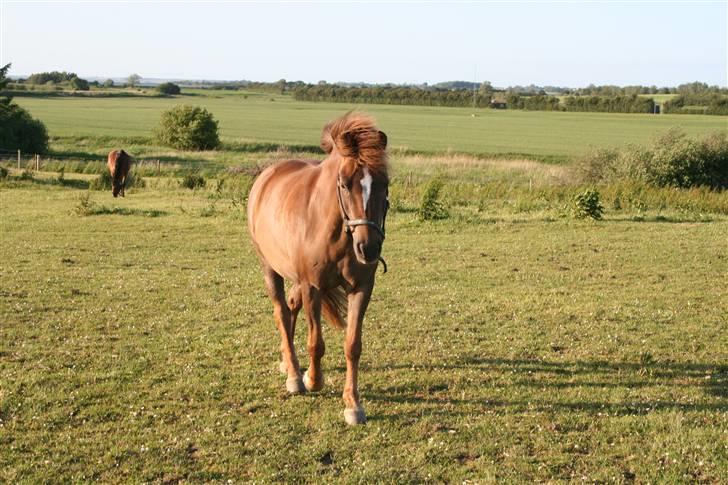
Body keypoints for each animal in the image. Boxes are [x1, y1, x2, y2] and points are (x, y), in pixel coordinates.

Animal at [247, 113, 390, 424]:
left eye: (385, 183)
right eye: (345, 184)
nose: (369, 248)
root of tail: (267, 175)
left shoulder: (362, 288)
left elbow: (353, 345)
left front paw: (353, 404)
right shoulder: (312, 286)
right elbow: (316, 342)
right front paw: (312, 380)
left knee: (290, 307)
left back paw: (287, 363)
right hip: (270, 268)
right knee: (281, 311)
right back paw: (294, 376)